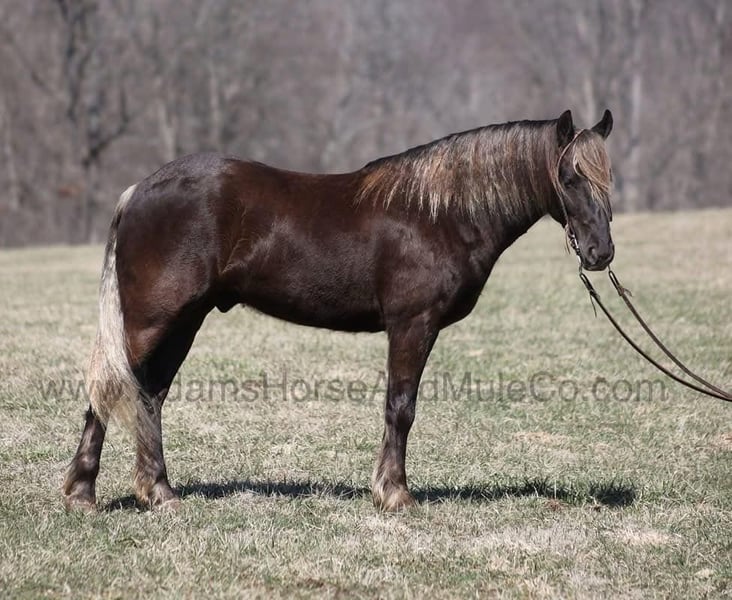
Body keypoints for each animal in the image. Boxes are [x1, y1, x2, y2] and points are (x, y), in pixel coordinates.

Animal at [63, 109, 615, 512]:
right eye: (569, 178)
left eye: (607, 179)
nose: (600, 253)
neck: (441, 213)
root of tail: (138, 191)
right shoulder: (412, 325)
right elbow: (401, 407)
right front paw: (395, 494)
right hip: (152, 320)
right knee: (110, 388)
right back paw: (85, 494)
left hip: (183, 321)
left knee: (148, 396)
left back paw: (157, 491)